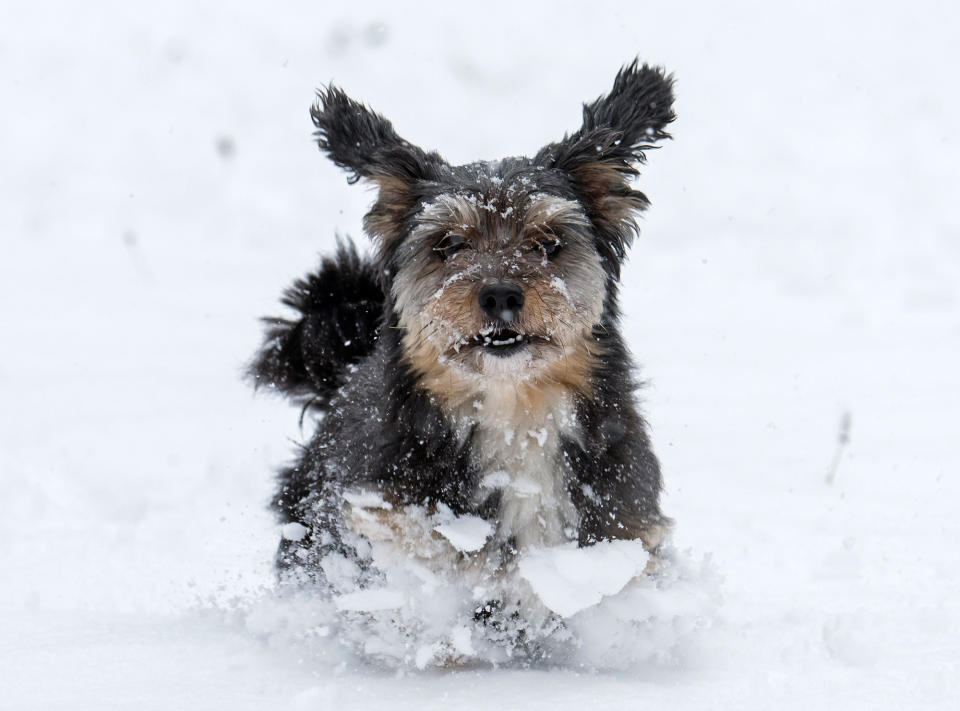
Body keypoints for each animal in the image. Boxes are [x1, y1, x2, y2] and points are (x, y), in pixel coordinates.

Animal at [251, 59, 680, 600]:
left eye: (549, 241)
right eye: (448, 243)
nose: (500, 295)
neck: (516, 418)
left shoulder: (624, 534)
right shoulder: (386, 518)